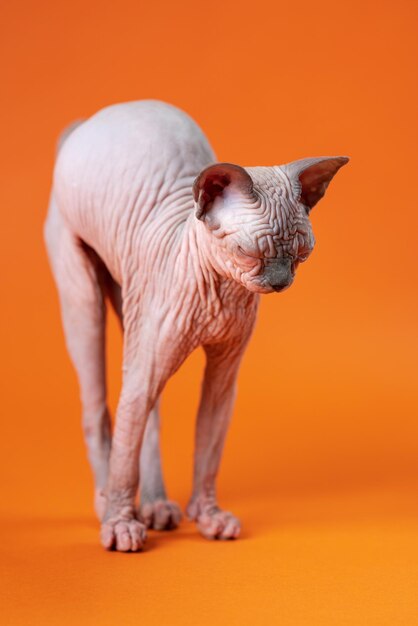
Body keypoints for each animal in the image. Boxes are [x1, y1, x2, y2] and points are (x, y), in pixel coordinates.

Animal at [44, 101, 348, 552]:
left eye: (301, 253)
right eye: (248, 253)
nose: (279, 282)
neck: (220, 292)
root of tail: (95, 119)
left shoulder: (224, 374)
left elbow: (208, 448)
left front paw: (207, 517)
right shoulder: (149, 349)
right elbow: (125, 448)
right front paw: (120, 524)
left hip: (131, 298)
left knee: (147, 414)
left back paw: (155, 506)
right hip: (81, 290)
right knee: (100, 408)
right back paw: (108, 504)